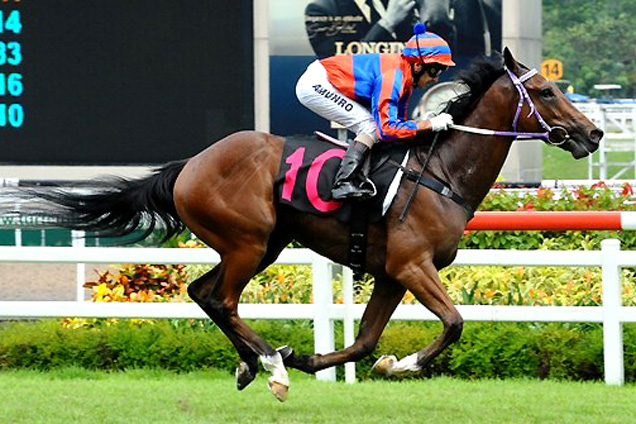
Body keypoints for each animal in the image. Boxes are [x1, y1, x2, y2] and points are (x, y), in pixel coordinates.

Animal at [19, 49, 600, 400]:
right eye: (546, 93)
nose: (592, 134)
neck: (440, 172)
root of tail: (190, 164)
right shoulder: (412, 265)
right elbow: (455, 322)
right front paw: (403, 365)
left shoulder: (391, 273)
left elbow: (365, 342)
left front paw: (325, 359)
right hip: (247, 242)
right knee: (222, 299)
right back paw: (270, 366)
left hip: (264, 245)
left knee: (203, 293)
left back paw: (255, 363)